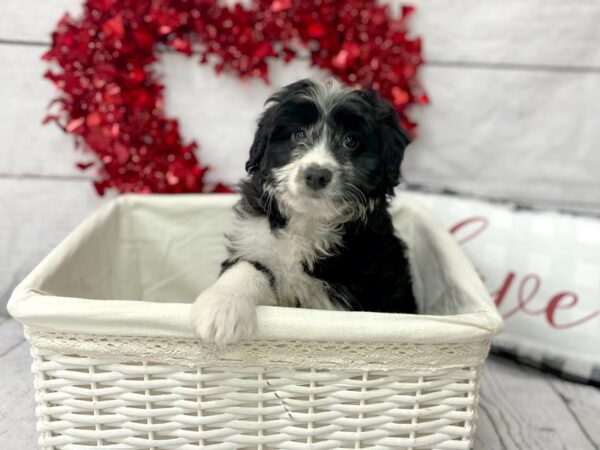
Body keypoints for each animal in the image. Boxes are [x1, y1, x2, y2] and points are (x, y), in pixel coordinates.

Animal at [190, 79, 414, 344]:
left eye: (350, 141)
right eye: (298, 134)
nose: (316, 175)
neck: (308, 220)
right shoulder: (255, 240)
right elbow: (246, 268)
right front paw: (222, 308)